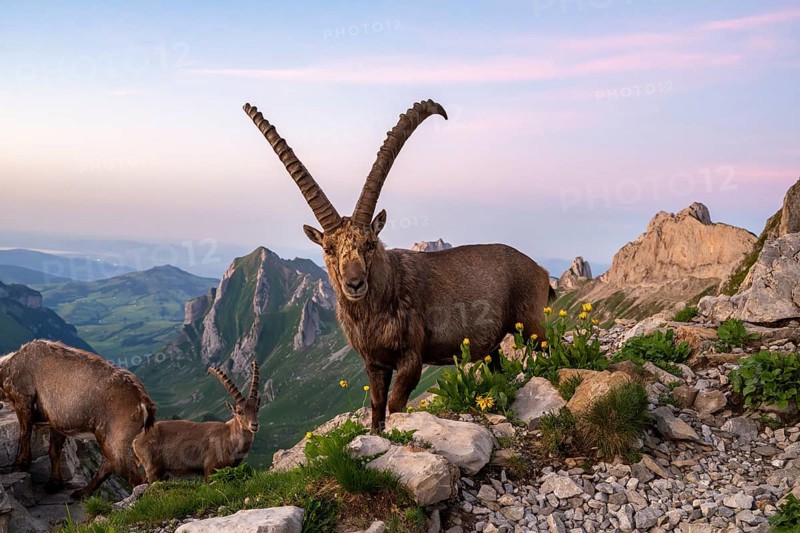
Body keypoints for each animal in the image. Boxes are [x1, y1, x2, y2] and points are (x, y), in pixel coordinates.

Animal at [0, 340, 155, 498]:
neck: (7, 367)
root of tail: (142, 402)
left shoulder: (23, 399)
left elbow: (24, 433)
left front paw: (20, 464)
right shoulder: (57, 424)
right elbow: (53, 451)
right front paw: (54, 484)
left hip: (116, 440)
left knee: (136, 478)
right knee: (107, 466)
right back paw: (81, 493)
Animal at [243, 100, 553, 433]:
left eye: (370, 243)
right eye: (328, 248)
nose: (354, 284)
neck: (381, 302)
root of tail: (540, 270)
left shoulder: (411, 358)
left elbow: (395, 404)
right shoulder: (375, 363)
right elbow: (377, 408)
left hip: (532, 326)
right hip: (494, 348)